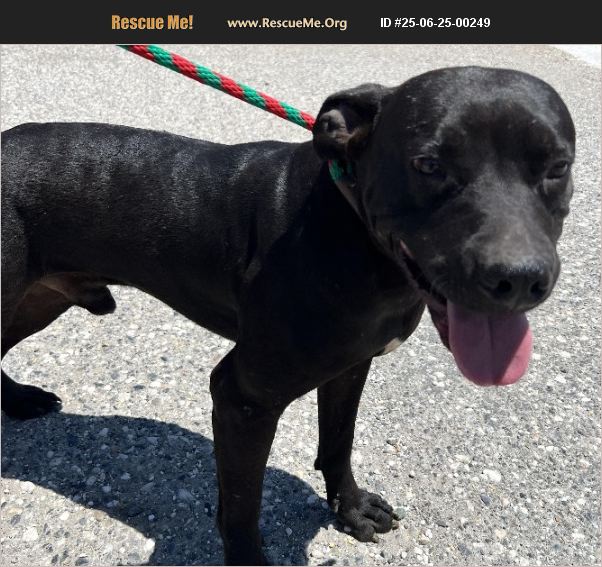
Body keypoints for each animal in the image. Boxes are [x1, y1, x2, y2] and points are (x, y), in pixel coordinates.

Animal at [1, 66, 575, 565]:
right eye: (429, 165)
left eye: (558, 168)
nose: (518, 279)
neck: (352, 232)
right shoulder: (243, 398)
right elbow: (241, 507)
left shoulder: (350, 367)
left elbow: (338, 440)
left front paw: (350, 509)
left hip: (40, 300)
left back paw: (20, 400)